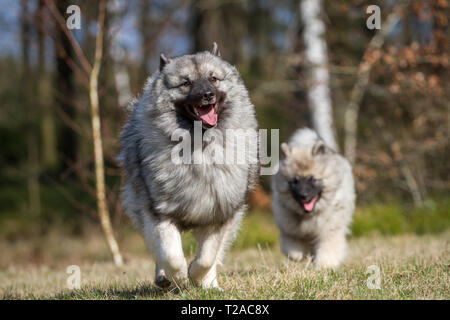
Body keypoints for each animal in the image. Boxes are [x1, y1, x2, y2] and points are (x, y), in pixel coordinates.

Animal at [118, 43, 258, 290]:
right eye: (186, 83)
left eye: (213, 79)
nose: (207, 95)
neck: (199, 146)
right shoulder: (159, 213)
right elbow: (171, 255)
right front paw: (180, 276)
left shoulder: (219, 214)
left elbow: (207, 257)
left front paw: (197, 275)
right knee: (158, 251)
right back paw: (164, 278)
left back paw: (210, 284)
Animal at [270, 127, 356, 268]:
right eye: (295, 181)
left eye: (313, 179)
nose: (303, 196)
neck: (309, 215)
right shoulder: (290, 227)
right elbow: (294, 247)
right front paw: (299, 255)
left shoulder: (330, 227)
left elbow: (329, 246)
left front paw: (326, 264)